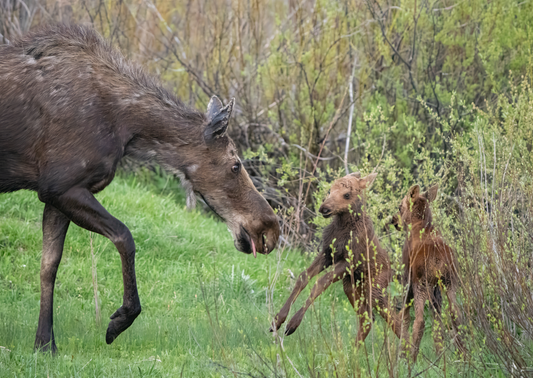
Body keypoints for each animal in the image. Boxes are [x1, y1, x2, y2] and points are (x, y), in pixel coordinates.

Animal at [0, 25, 278, 352]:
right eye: (235, 165)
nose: (269, 228)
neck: (128, 128)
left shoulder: (56, 193)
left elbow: (49, 266)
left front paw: (44, 344)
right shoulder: (60, 185)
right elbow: (124, 236)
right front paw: (120, 319)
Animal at [270, 172, 404, 342]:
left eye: (347, 194)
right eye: (329, 190)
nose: (324, 208)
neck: (342, 227)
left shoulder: (350, 260)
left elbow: (320, 283)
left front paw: (293, 324)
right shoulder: (328, 253)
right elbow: (303, 277)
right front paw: (277, 320)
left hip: (375, 290)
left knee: (395, 319)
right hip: (351, 286)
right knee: (368, 318)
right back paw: (354, 349)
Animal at [392, 185, 464, 362]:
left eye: (400, 206)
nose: (394, 220)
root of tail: (437, 260)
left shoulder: (407, 279)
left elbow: (404, 316)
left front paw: (402, 354)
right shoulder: (437, 289)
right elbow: (437, 318)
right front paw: (439, 353)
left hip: (421, 284)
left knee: (419, 320)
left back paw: (411, 359)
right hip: (449, 282)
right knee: (455, 314)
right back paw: (463, 356)